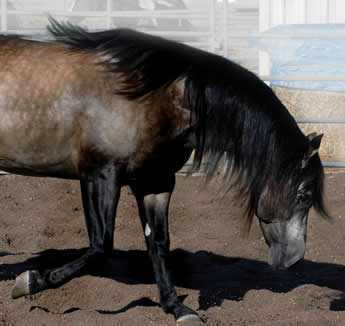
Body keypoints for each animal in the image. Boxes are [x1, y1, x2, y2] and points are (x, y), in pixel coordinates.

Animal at [0, 18, 328, 324]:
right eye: (304, 194)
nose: (293, 259)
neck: (153, 95)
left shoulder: (155, 183)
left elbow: (158, 244)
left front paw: (177, 308)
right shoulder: (100, 176)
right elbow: (101, 246)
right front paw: (30, 282)